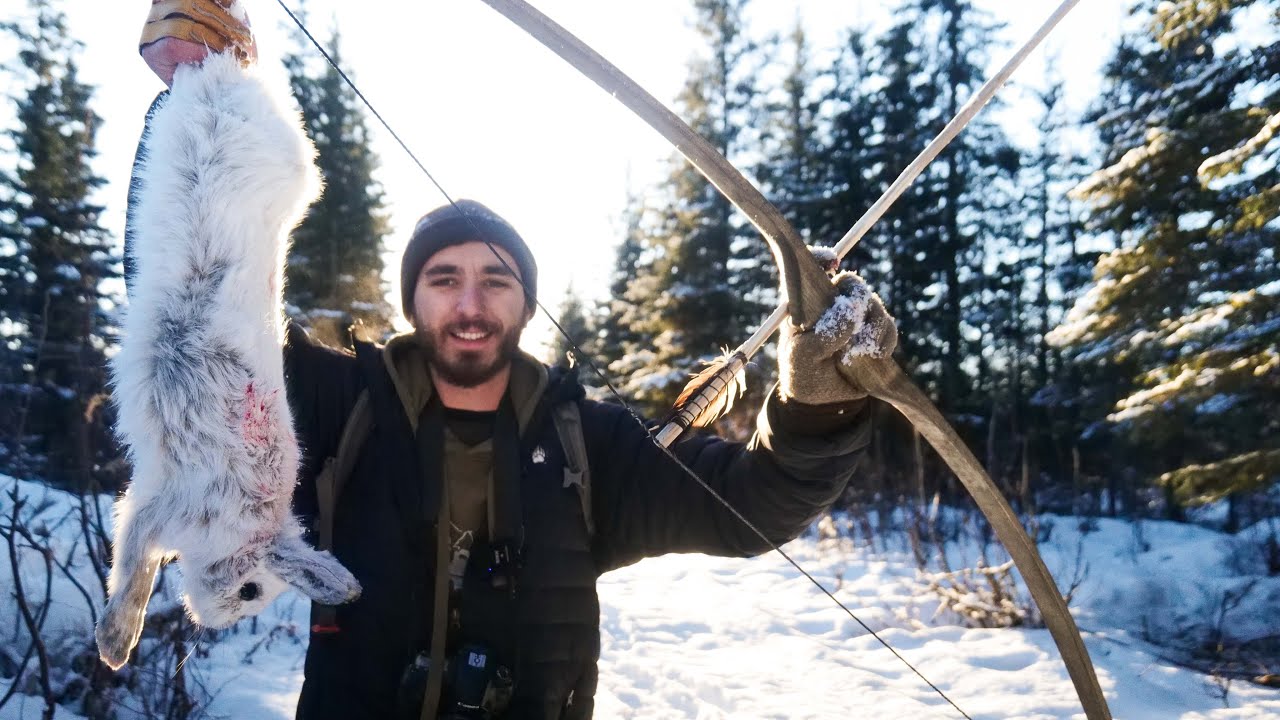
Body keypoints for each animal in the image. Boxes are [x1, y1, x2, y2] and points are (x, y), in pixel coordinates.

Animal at [97, 51, 359, 671]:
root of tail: (220, 74)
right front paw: (116, 645)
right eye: (250, 591)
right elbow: (132, 563)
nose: (213, 622)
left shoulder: (158, 501)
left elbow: (136, 558)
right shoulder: (162, 505)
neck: (245, 523)